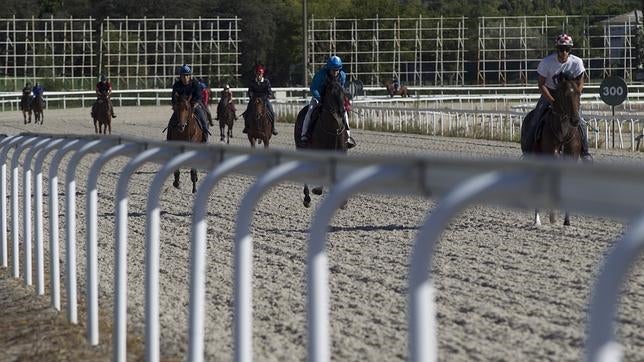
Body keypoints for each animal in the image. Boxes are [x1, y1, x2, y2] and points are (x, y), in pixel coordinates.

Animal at [296, 78, 350, 208]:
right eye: (330, 93)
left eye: (343, 92)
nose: (341, 111)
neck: (333, 129)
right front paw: (317, 190)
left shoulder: (340, 152)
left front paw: (342, 201)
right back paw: (307, 198)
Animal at [520, 75, 580, 225]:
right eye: (564, 94)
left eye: (578, 93)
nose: (575, 120)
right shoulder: (552, 156)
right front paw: (553, 215)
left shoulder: (571, 157)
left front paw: (567, 220)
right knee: (538, 184)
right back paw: (537, 220)